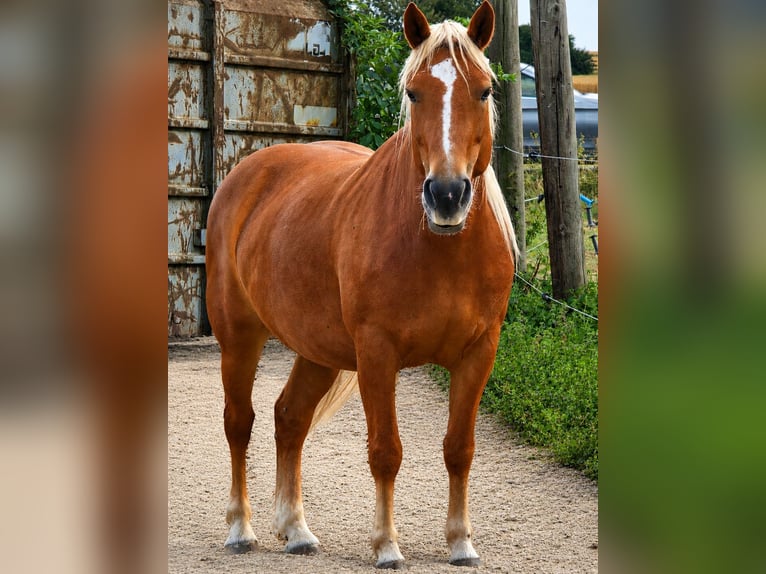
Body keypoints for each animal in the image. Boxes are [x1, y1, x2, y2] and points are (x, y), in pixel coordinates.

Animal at [205, 1, 517, 568]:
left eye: (484, 90)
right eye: (414, 92)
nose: (447, 194)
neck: (438, 249)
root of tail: (247, 173)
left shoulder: (479, 353)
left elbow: (459, 448)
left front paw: (461, 541)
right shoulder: (377, 353)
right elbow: (385, 451)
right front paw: (386, 545)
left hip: (318, 350)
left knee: (290, 418)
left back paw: (297, 530)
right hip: (239, 338)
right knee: (240, 422)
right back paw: (241, 528)